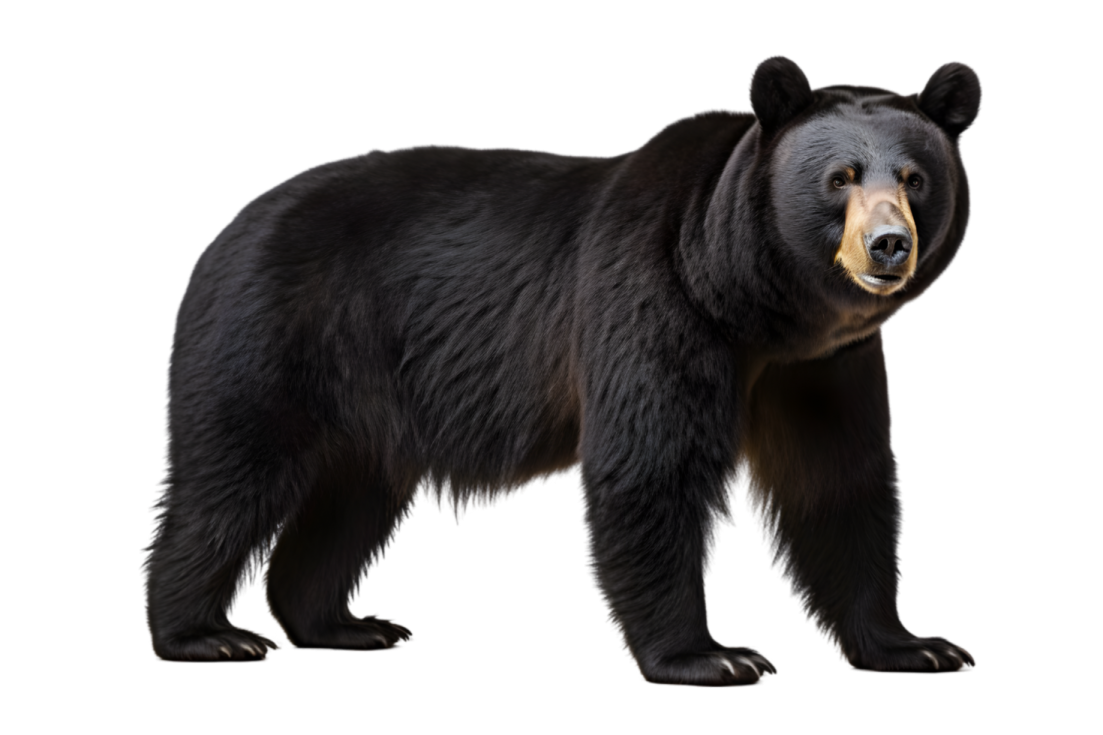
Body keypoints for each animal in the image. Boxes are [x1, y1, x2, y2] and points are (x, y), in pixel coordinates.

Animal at [140, 54, 982, 684]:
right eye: (840, 177)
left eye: (914, 178)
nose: (887, 246)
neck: (754, 302)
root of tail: (225, 231)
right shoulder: (656, 300)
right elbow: (651, 466)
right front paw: (710, 654)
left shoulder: (819, 364)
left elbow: (838, 478)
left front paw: (911, 643)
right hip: (273, 331)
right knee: (230, 474)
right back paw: (202, 632)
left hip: (370, 399)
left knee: (348, 499)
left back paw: (340, 622)